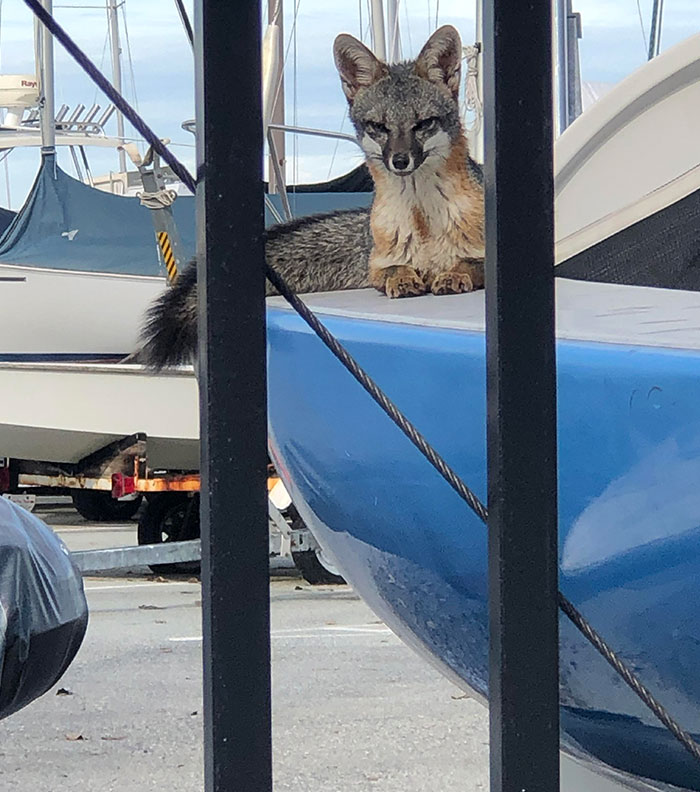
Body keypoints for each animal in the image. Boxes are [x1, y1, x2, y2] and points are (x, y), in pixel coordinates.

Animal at [138, 24, 484, 369]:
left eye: (424, 124)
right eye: (379, 126)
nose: (399, 161)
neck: (421, 218)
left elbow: (467, 262)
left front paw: (453, 273)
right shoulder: (376, 265)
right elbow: (391, 270)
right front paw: (402, 279)